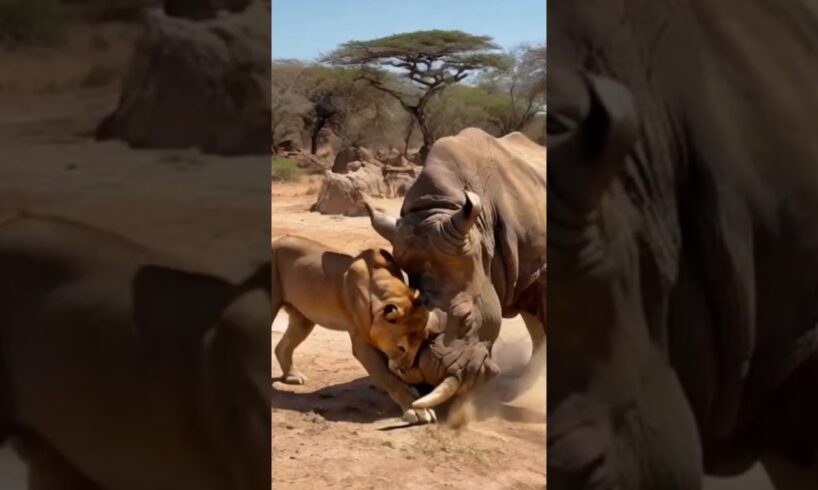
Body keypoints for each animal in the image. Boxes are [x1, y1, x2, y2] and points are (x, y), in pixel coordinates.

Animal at [272, 235, 440, 424]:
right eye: (401, 347)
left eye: (419, 346)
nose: (406, 370)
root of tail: (277, 240)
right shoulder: (361, 344)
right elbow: (388, 376)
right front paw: (415, 408)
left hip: (303, 319)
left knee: (282, 347)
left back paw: (293, 376)